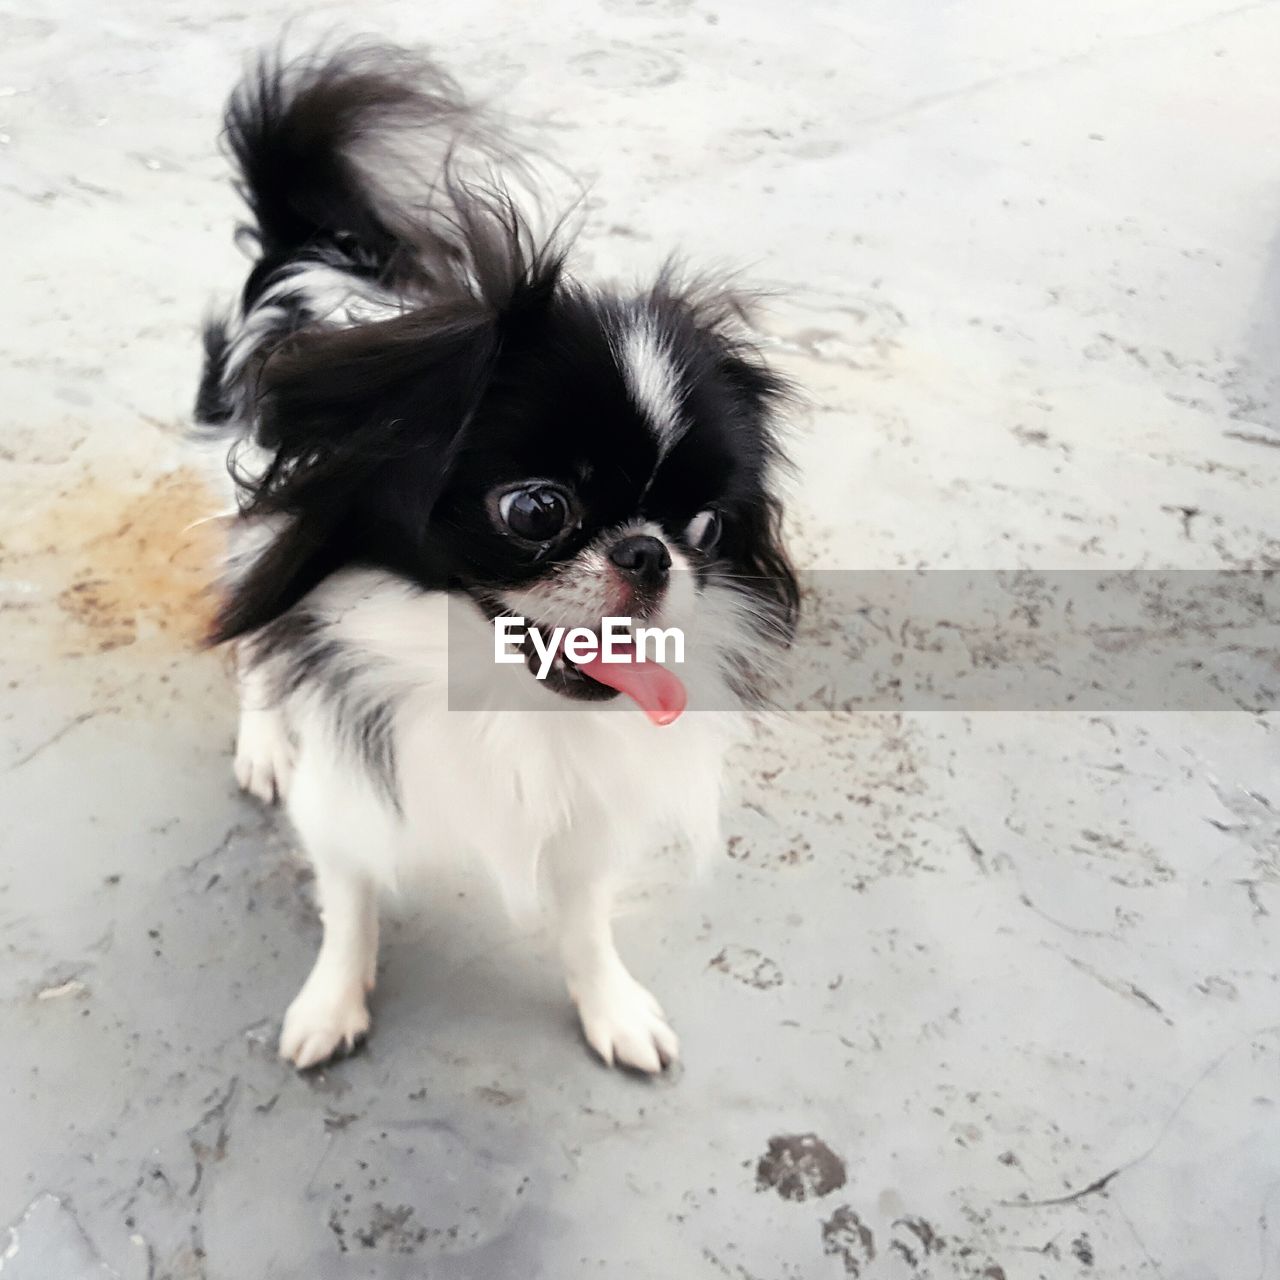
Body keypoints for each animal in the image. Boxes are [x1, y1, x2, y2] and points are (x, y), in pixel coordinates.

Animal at [193, 40, 793, 1075]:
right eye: (536, 508)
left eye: (709, 530)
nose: (651, 553)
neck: (494, 698)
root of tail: (316, 245)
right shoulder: (348, 802)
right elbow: (349, 902)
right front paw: (331, 1002)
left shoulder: (588, 816)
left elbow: (586, 922)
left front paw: (612, 1008)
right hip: (249, 519)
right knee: (255, 643)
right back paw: (265, 741)